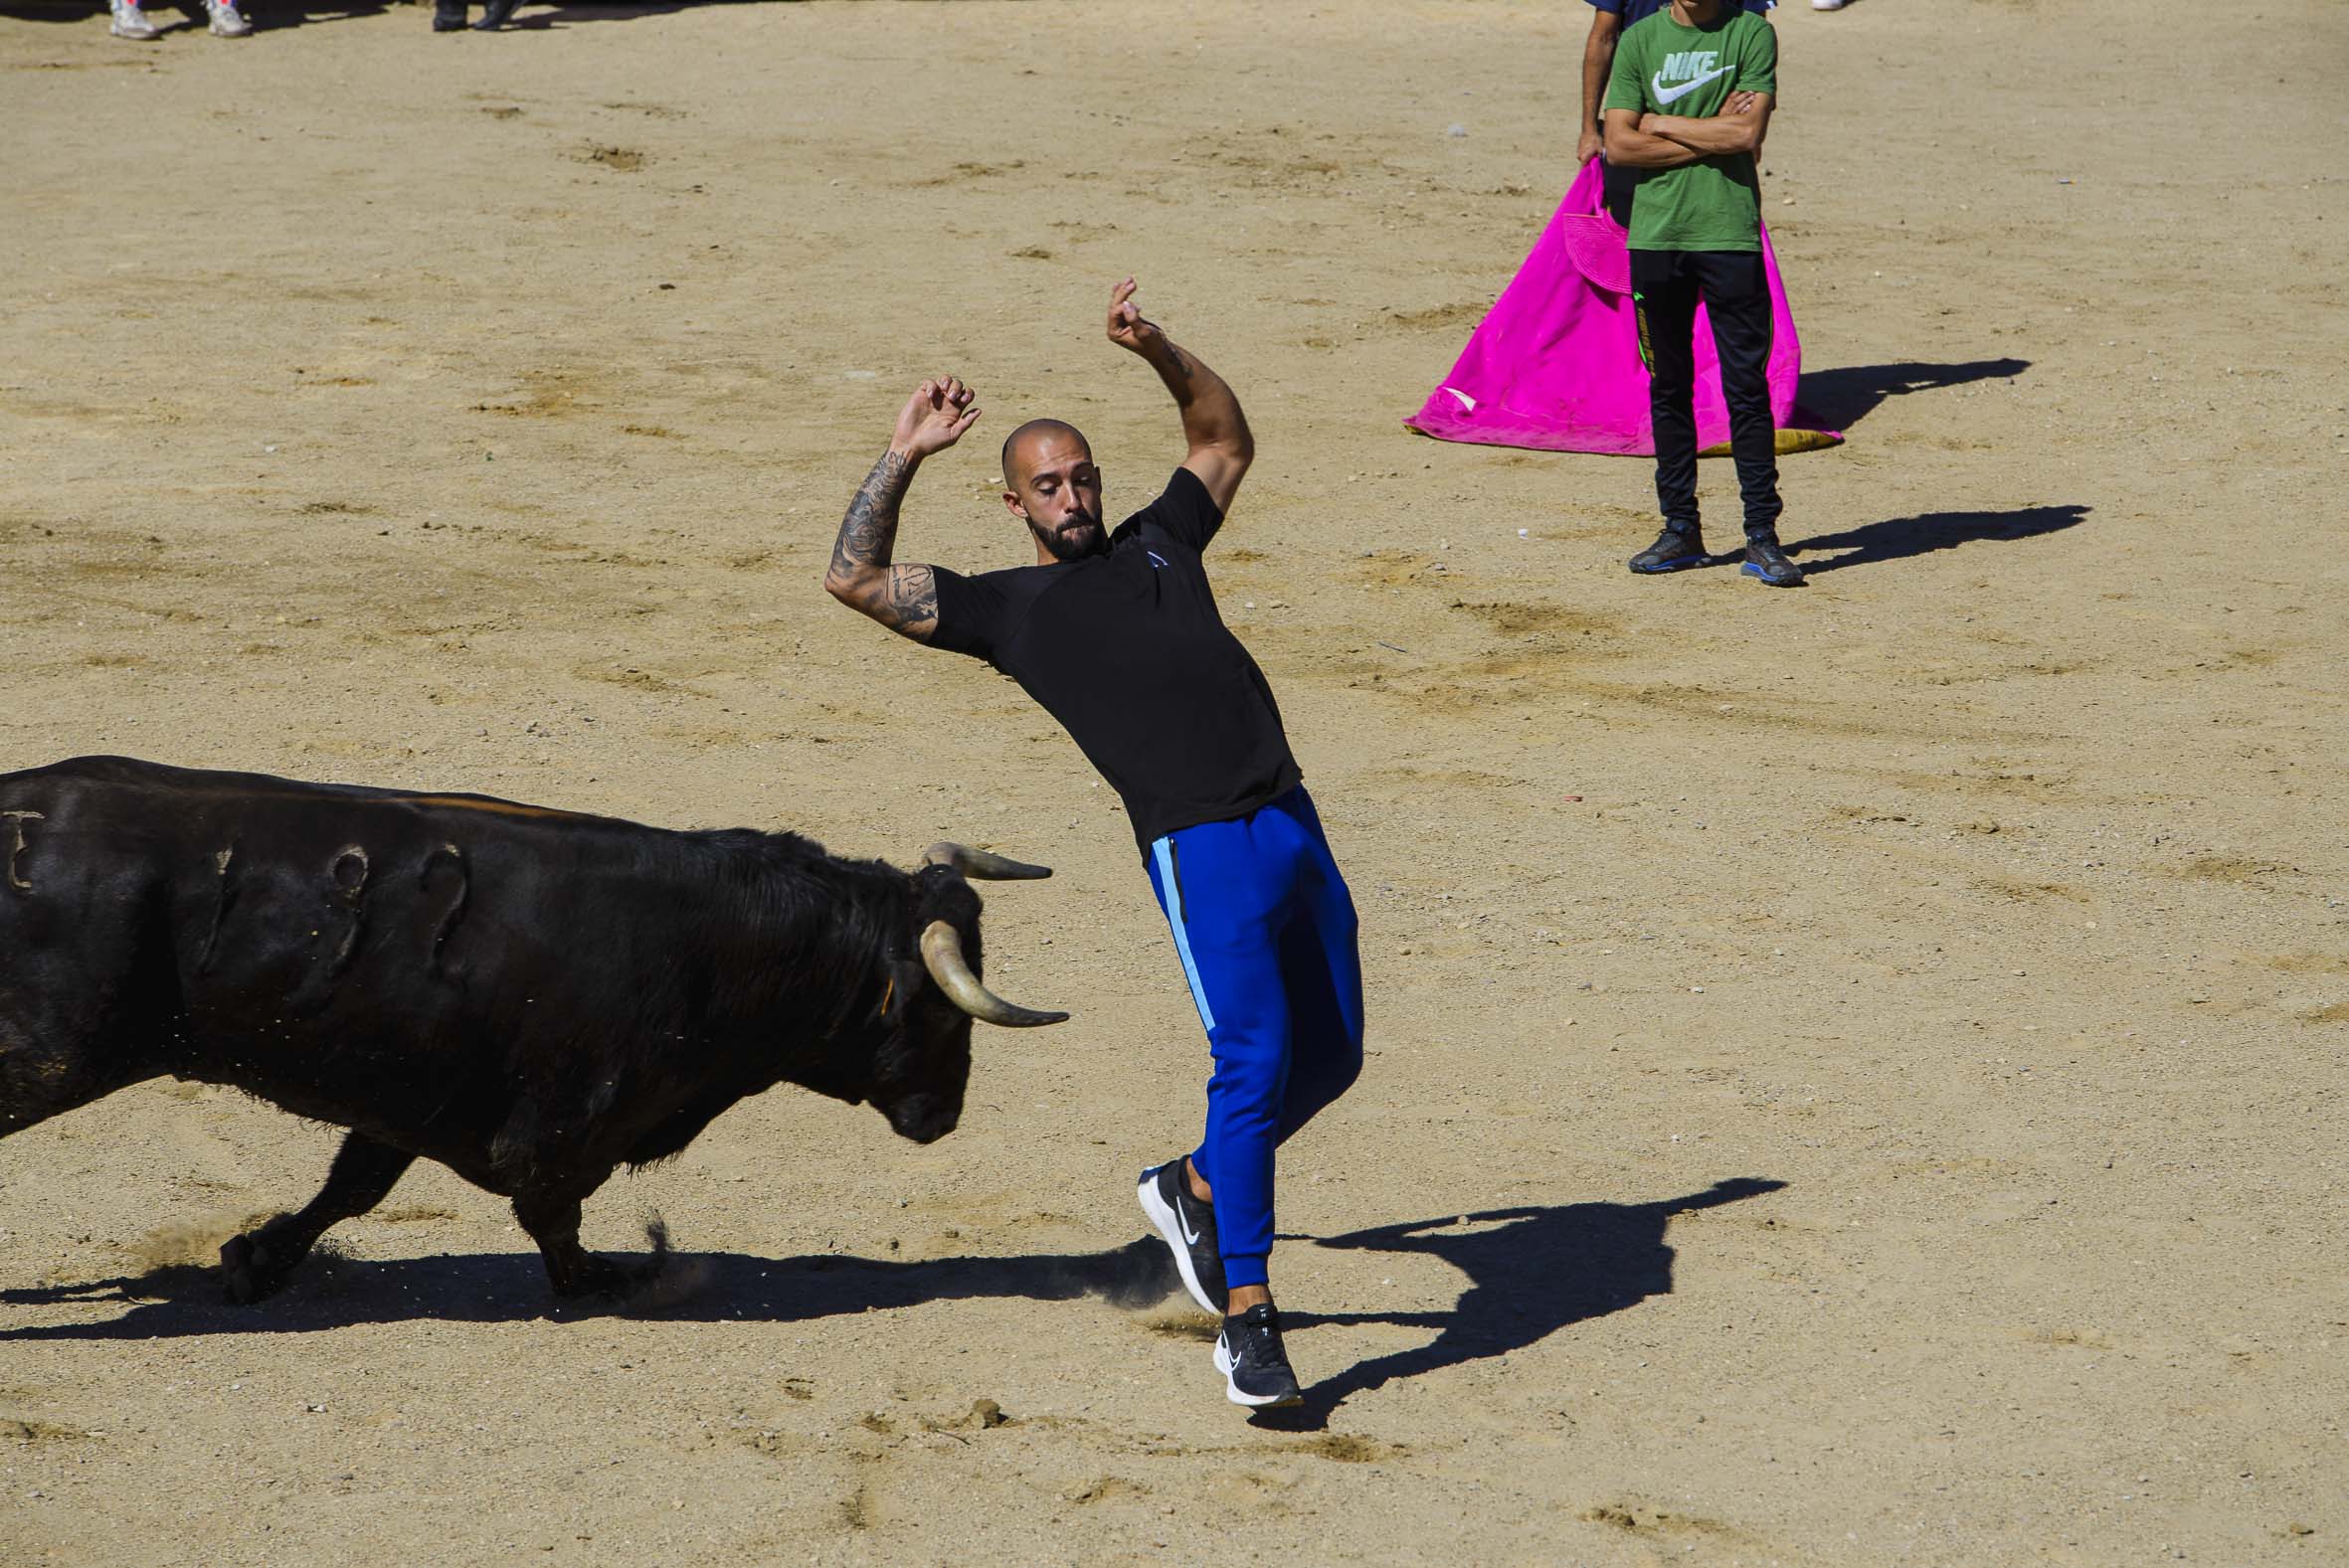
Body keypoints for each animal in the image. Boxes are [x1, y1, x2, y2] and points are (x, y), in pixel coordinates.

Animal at [0, 756, 1066, 1296]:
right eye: (934, 1007)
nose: (944, 1114)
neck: (729, 941)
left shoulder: (405, 1091)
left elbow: (354, 1186)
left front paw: (255, 1260)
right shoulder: (569, 1121)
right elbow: (554, 1209)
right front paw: (606, 1278)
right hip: (43, 1058)